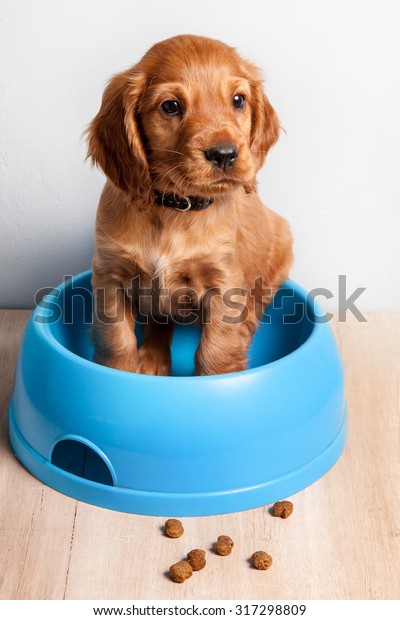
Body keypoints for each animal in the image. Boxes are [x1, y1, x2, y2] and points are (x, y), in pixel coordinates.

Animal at [87, 36, 292, 376]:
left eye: (238, 100)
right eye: (171, 106)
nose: (225, 154)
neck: (175, 208)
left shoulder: (224, 283)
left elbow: (215, 351)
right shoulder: (109, 274)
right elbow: (116, 339)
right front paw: (119, 371)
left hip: (283, 242)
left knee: (257, 303)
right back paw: (153, 361)